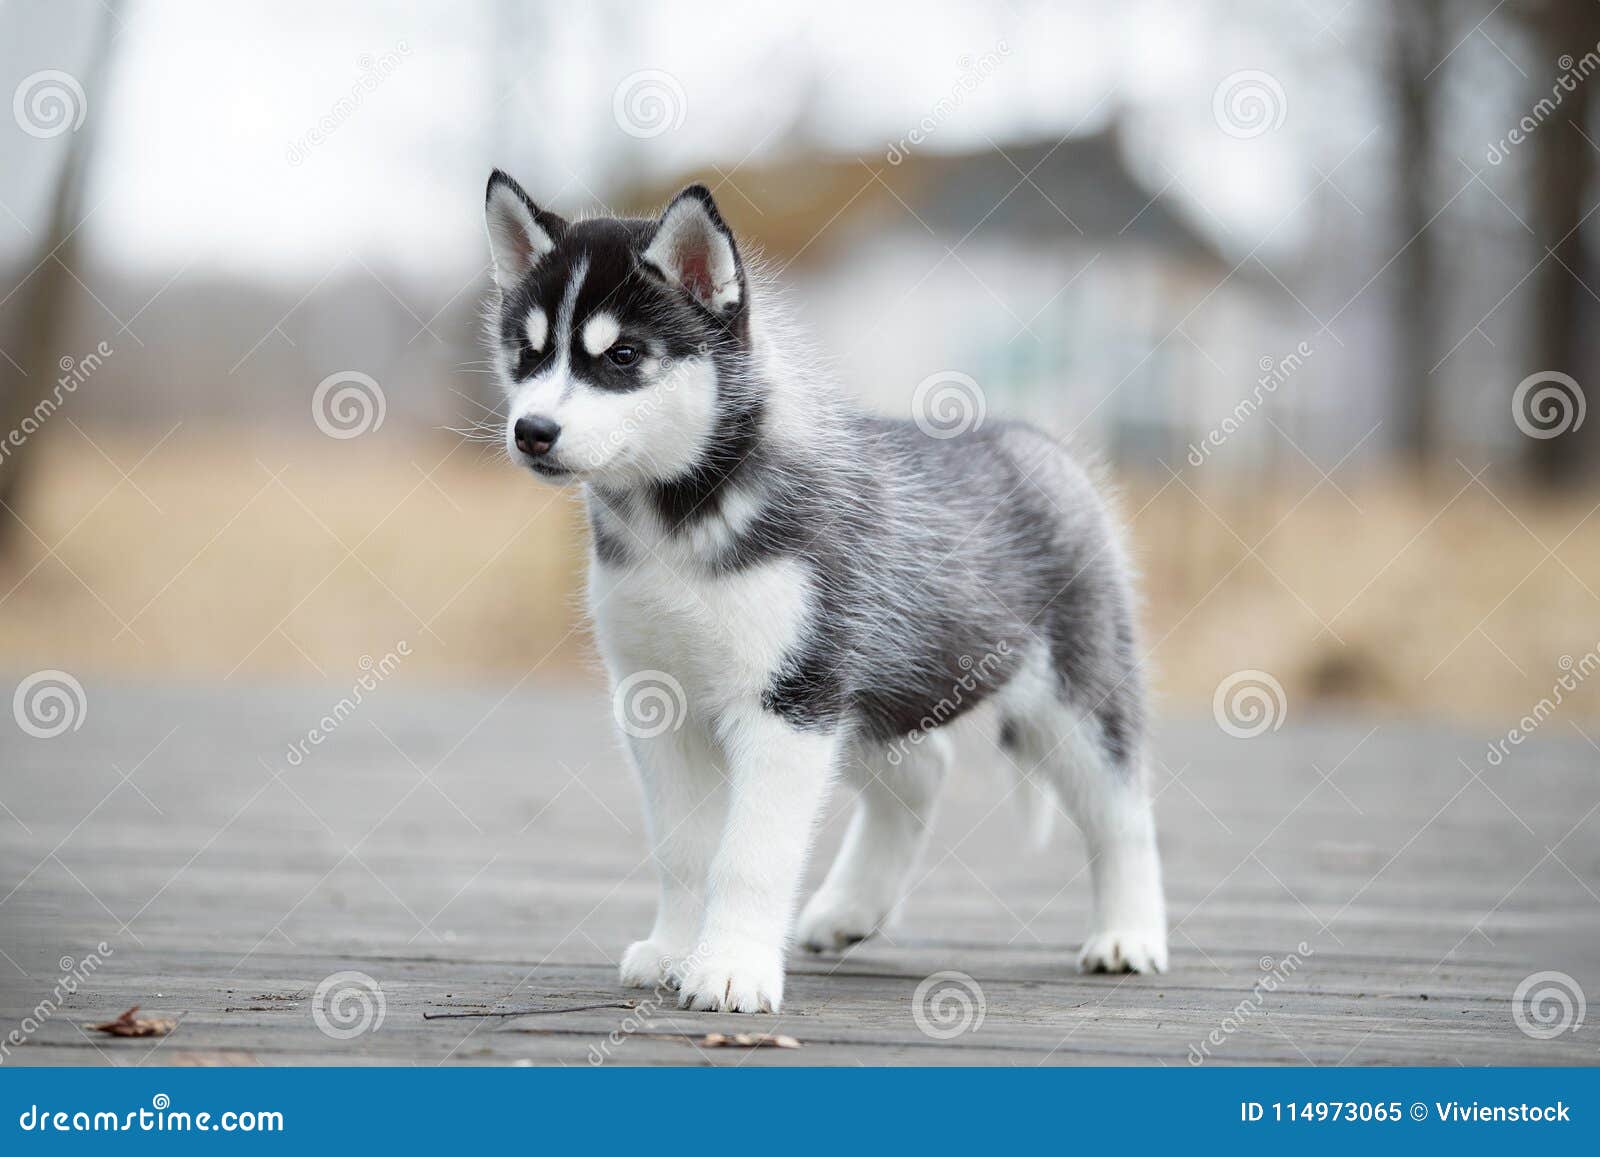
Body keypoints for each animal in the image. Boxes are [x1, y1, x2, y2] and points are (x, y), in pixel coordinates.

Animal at [480, 169, 1171, 1011]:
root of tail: (1041, 442)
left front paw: (731, 967)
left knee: (1122, 809)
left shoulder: (789, 703)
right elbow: (682, 846)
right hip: (873, 690)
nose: (532, 431)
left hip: (1069, 696)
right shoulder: (657, 701)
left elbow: (751, 853)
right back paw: (850, 909)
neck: (679, 520)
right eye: (528, 354)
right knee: (923, 772)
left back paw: (1129, 935)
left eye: (622, 355)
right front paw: (676, 948)